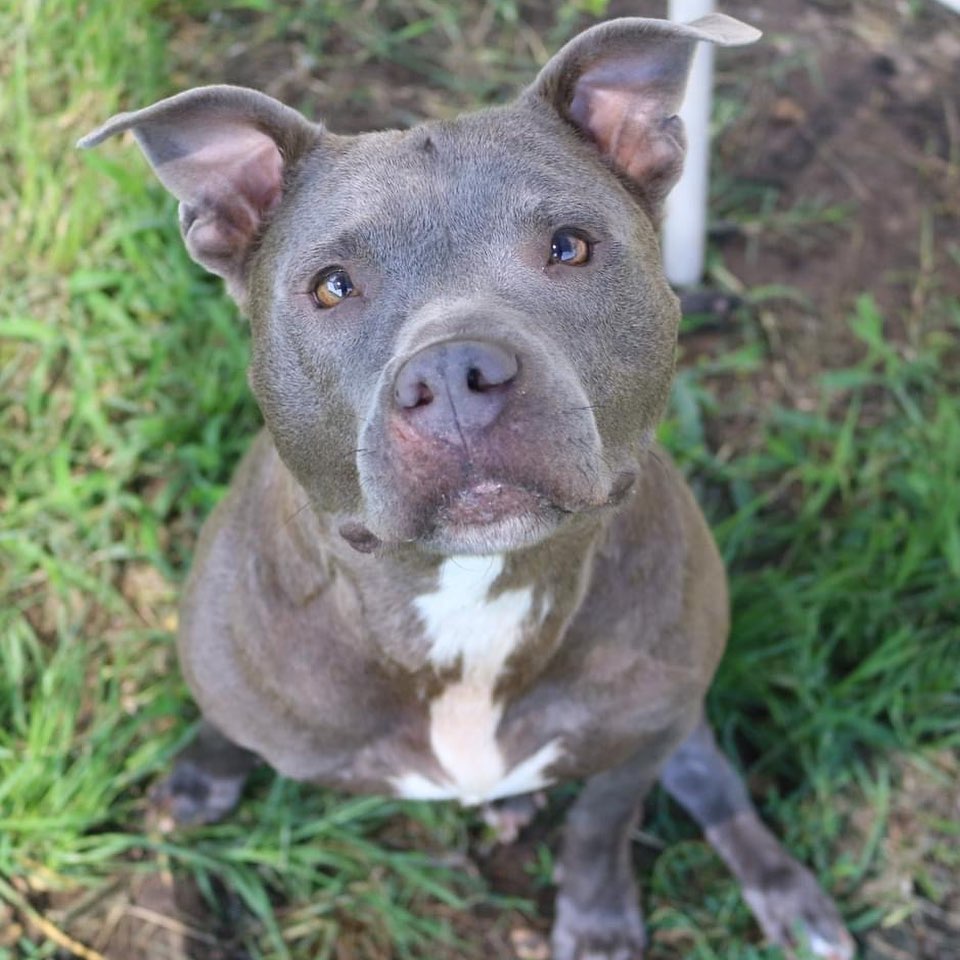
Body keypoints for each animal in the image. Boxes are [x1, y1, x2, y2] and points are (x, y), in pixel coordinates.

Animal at [84, 15, 856, 960]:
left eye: (569, 246)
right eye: (332, 286)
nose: (455, 373)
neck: (469, 596)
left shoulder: (645, 727)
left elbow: (602, 820)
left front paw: (597, 919)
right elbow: (230, 726)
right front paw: (202, 768)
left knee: (711, 781)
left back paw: (788, 895)